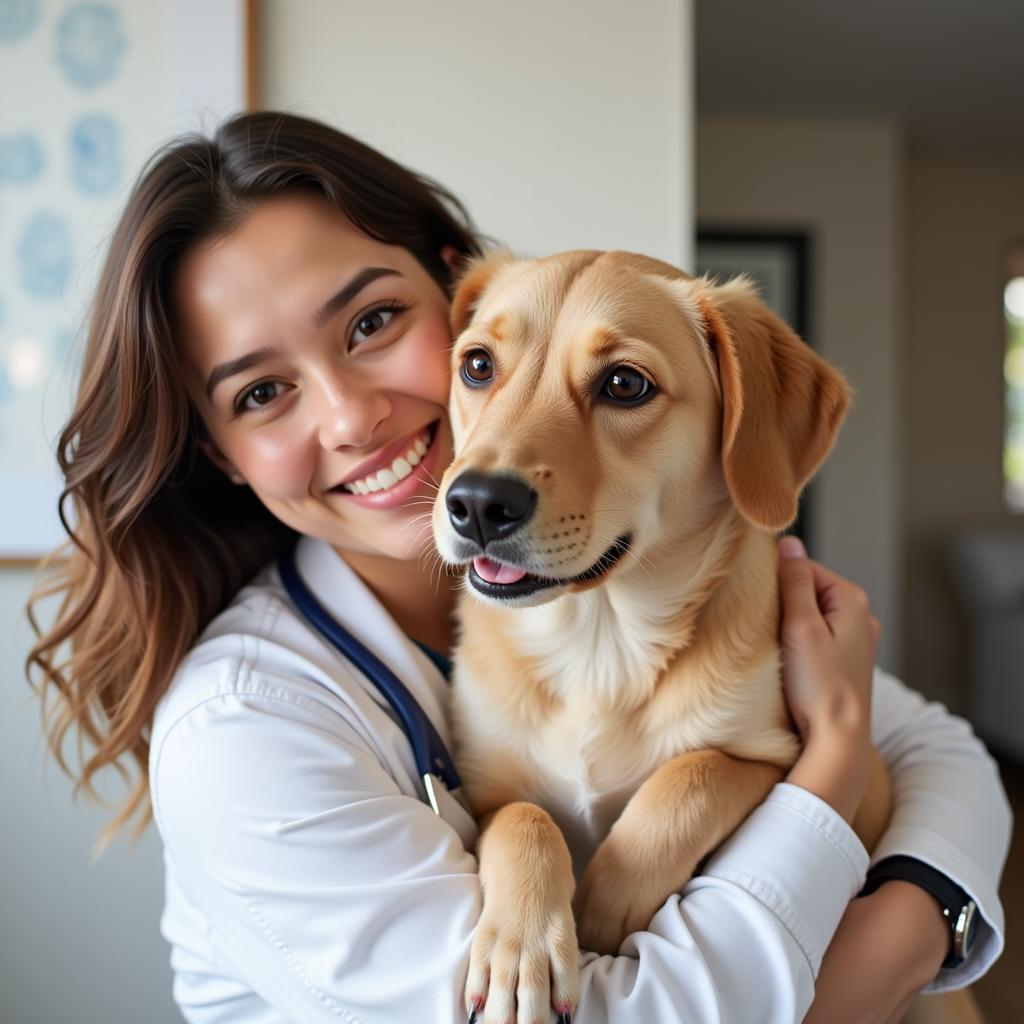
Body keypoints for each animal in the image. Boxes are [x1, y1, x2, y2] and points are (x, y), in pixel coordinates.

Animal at [428, 249, 892, 1024]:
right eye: (477, 366)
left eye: (624, 384)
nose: (477, 504)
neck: (599, 644)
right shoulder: (485, 791)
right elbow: (525, 819)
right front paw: (523, 948)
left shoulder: (796, 762)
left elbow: (688, 779)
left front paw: (601, 910)